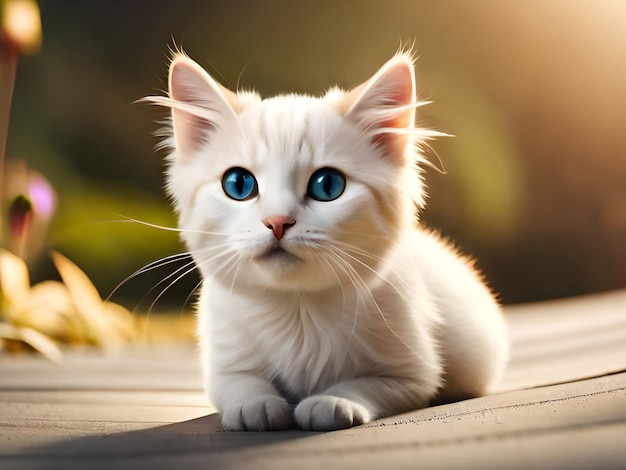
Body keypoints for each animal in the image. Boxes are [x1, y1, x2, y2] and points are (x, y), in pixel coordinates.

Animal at [143, 50, 508, 430]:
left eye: (327, 185)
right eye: (239, 184)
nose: (277, 222)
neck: (296, 309)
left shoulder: (411, 374)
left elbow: (366, 384)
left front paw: (331, 402)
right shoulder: (223, 365)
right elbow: (241, 384)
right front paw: (256, 406)